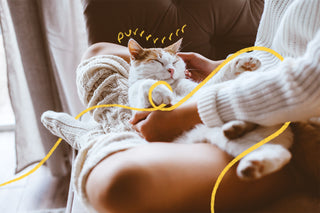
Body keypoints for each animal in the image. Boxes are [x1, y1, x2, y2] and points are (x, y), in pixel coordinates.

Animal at [127, 37, 292, 180]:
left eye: (174, 61)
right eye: (157, 61)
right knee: (280, 152)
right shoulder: (141, 109)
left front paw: (242, 62)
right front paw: (159, 90)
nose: (171, 70)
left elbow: (216, 79)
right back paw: (250, 160)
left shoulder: (201, 91)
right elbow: (144, 83)